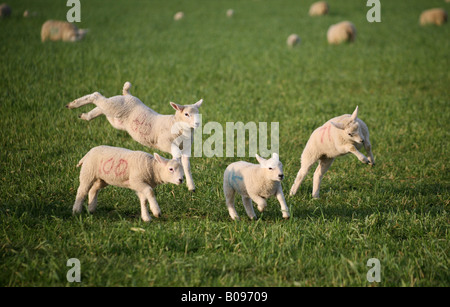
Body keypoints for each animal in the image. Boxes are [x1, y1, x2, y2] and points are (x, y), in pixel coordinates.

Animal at [65, 82, 202, 192]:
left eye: (198, 113)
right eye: (186, 114)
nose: (197, 123)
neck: (175, 124)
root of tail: (128, 95)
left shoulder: (187, 147)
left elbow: (187, 165)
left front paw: (191, 186)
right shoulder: (165, 142)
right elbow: (176, 154)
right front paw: (173, 167)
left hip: (114, 117)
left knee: (100, 108)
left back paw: (84, 115)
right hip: (116, 104)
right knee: (96, 96)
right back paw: (73, 104)